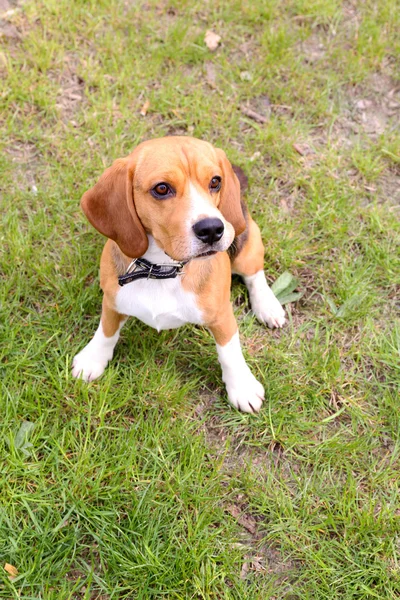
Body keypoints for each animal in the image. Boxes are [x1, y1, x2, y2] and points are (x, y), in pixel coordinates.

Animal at [71, 136, 284, 412]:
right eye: (162, 189)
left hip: (246, 247)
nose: (212, 229)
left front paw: (242, 386)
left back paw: (267, 306)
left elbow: (229, 352)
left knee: (255, 275)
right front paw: (93, 358)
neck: (163, 269)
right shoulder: (112, 300)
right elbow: (106, 331)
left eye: (215, 181)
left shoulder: (222, 316)